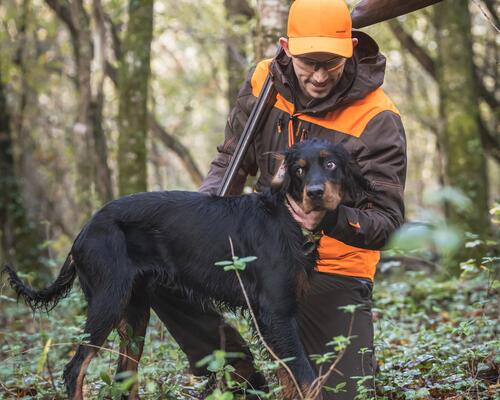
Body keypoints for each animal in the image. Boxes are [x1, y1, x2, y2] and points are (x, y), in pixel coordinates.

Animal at [3, 138, 370, 400]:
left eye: (331, 163)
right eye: (299, 170)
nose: (315, 193)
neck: (288, 218)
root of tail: (85, 229)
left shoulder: (278, 317)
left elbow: (291, 379)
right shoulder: (276, 314)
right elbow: (308, 380)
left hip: (135, 312)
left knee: (125, 375)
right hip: (108, 302)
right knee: (75, 369)